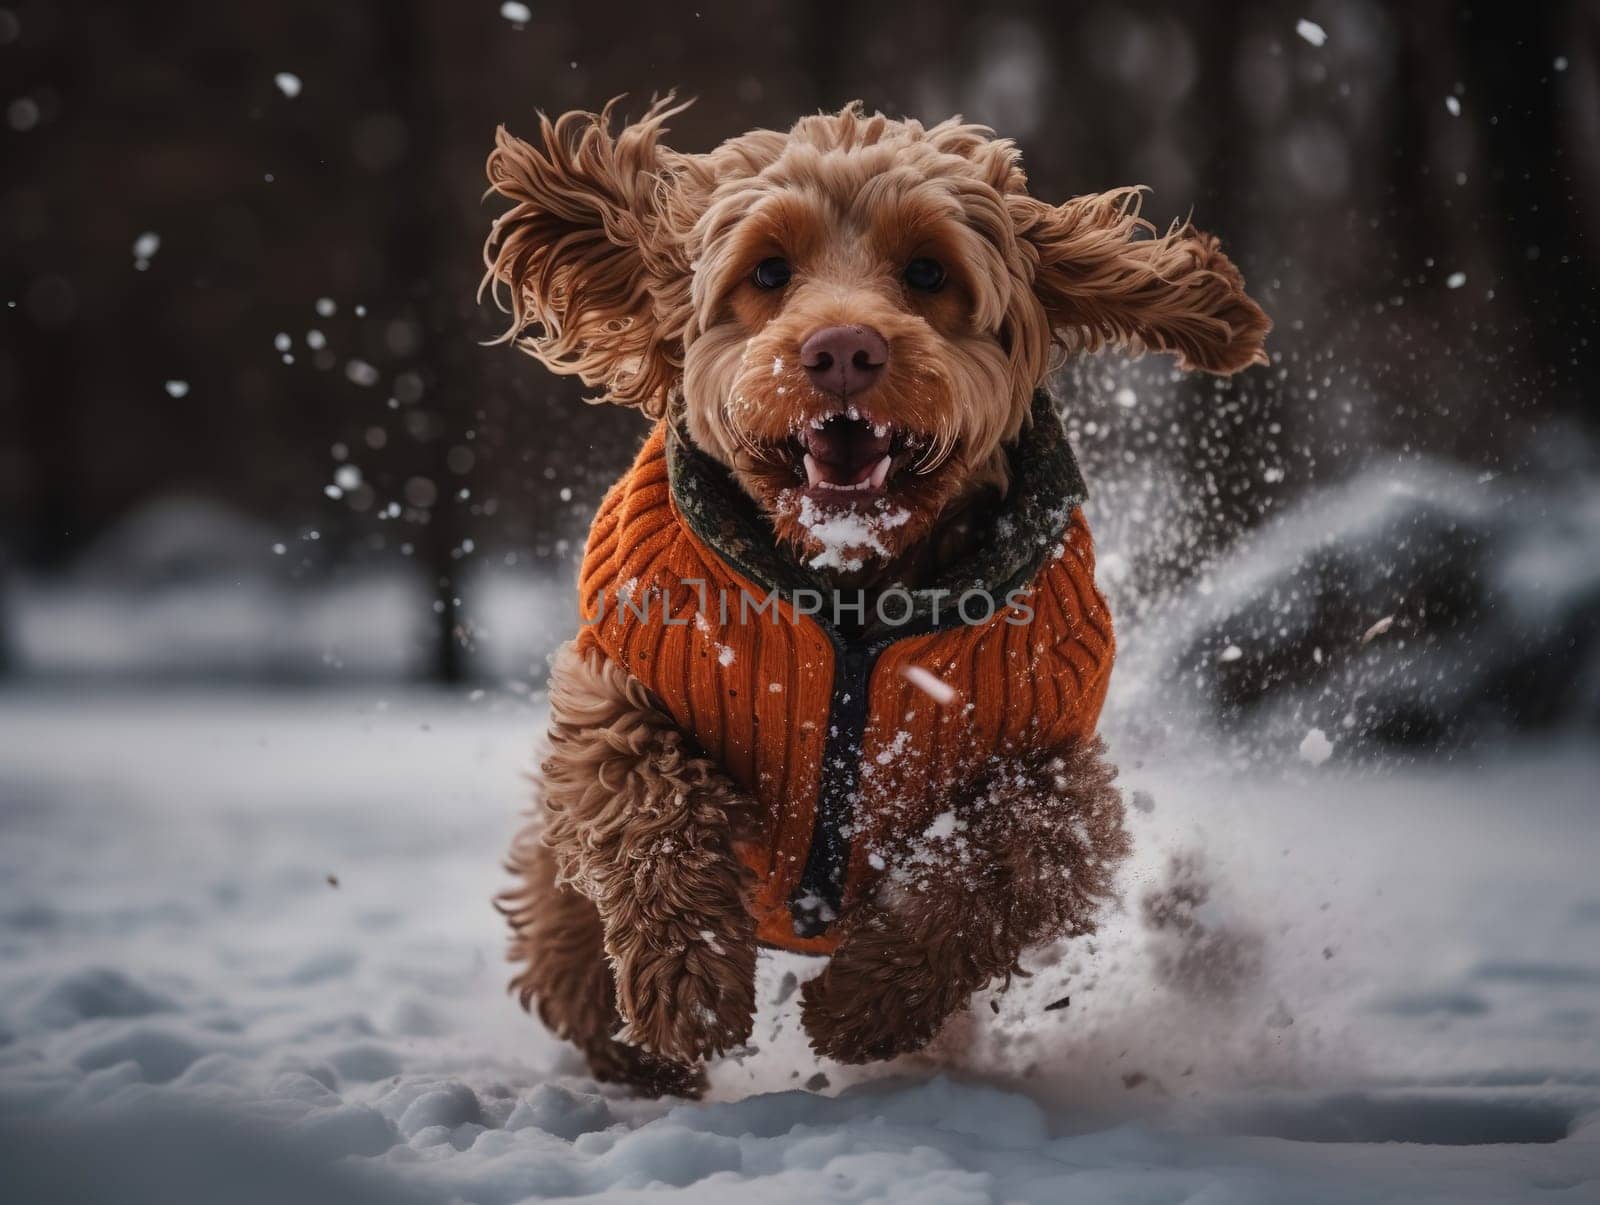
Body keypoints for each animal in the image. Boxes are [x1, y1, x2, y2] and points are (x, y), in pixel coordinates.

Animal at [480, 98, 1267, 1094]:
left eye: (928, 271)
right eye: (769, 270)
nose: (844, 348)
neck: (852, 594)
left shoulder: (1055, 770)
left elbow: (991, 866)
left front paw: (863, 1009)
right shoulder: (623, 690)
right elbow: (653, 807)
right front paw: (689, 986)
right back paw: (632, 1050)